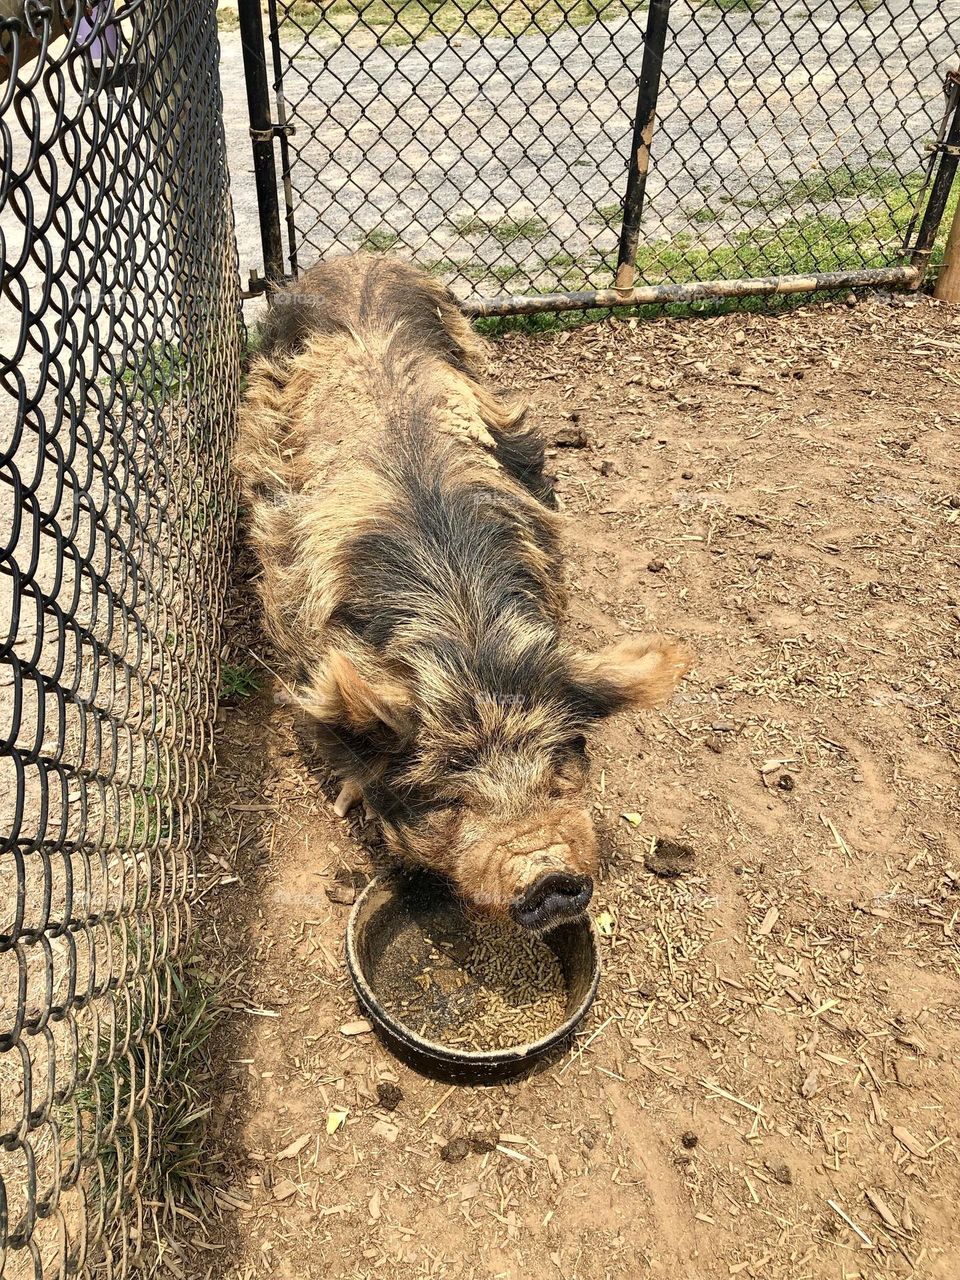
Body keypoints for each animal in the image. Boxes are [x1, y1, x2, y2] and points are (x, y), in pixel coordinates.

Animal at [235, 253, 691, 931]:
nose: (549, 875)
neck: (466, 635)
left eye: (559, 769)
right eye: (451, 798)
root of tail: (356, 258)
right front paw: (347, 802)